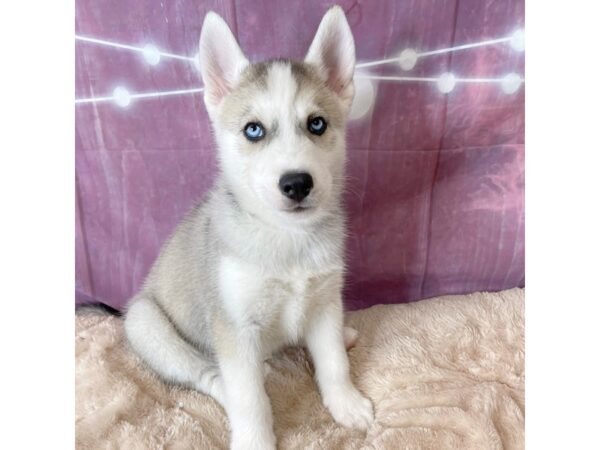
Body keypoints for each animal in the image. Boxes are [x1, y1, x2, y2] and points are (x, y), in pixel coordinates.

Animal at [124, 7, 372, 450]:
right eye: (253, 130)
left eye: (317, 124)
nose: (297, 183)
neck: (287, 240)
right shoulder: (235, 328)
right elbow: (250, 398)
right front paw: (255, 439)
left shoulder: (326, 300)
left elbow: (333, 363)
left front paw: (346, 403)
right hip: (146, 322)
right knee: (210, 376)